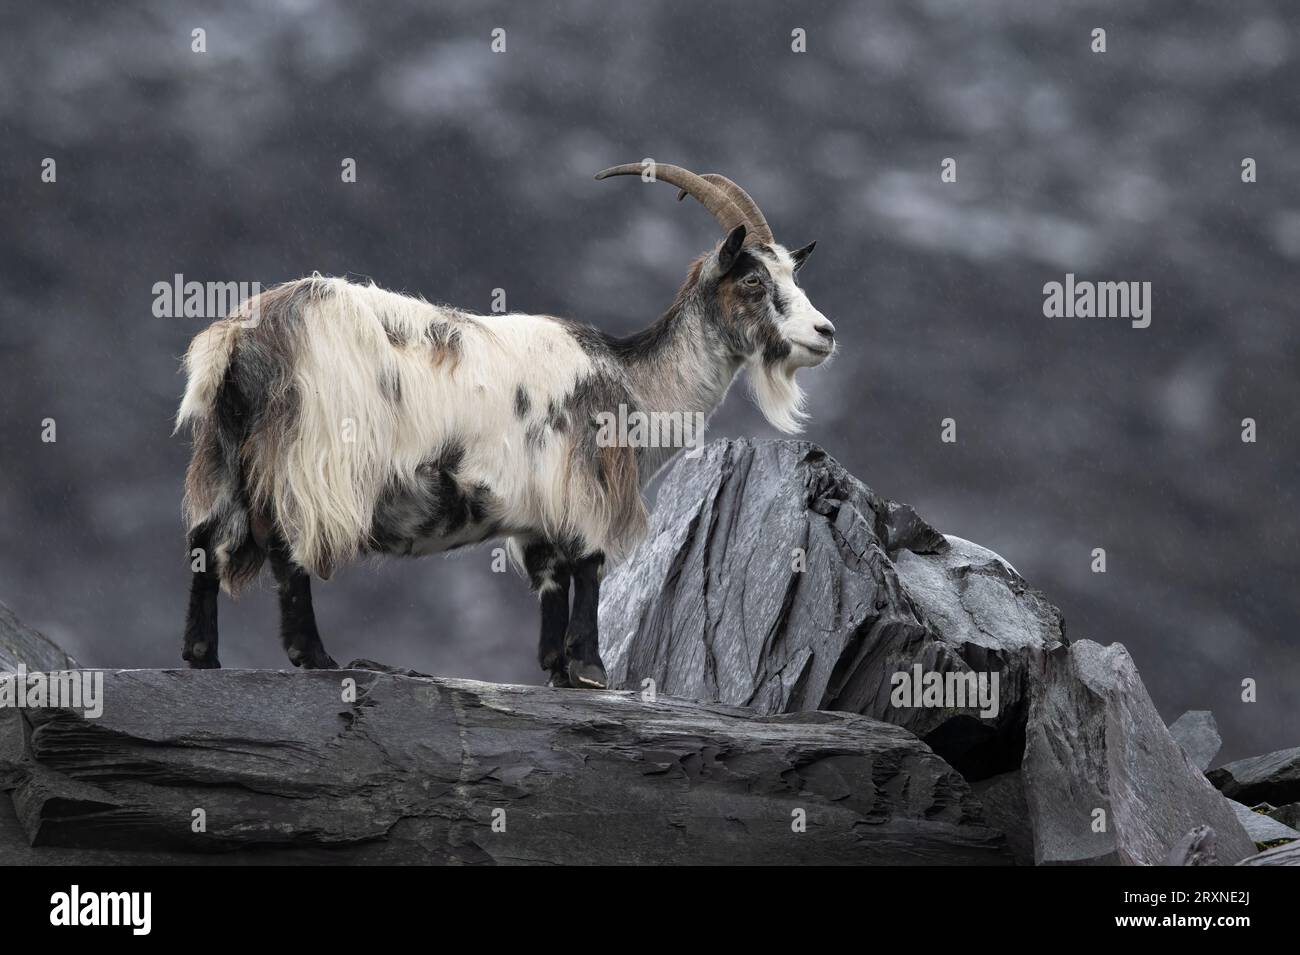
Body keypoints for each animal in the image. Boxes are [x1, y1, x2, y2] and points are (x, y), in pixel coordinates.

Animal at [175, 164, 832, 686]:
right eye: (753, 280)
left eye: (794, 277)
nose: (824, 333)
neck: (630, 380)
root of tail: (241, 340)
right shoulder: (585, 483)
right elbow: (589, 566)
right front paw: (591, 670)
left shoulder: (540, 511)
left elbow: (551, 581)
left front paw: (556, 670)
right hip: (310, 457)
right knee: (288, 545)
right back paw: (315, 658)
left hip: (223, 452)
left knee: (205, 540)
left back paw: (202, 658)